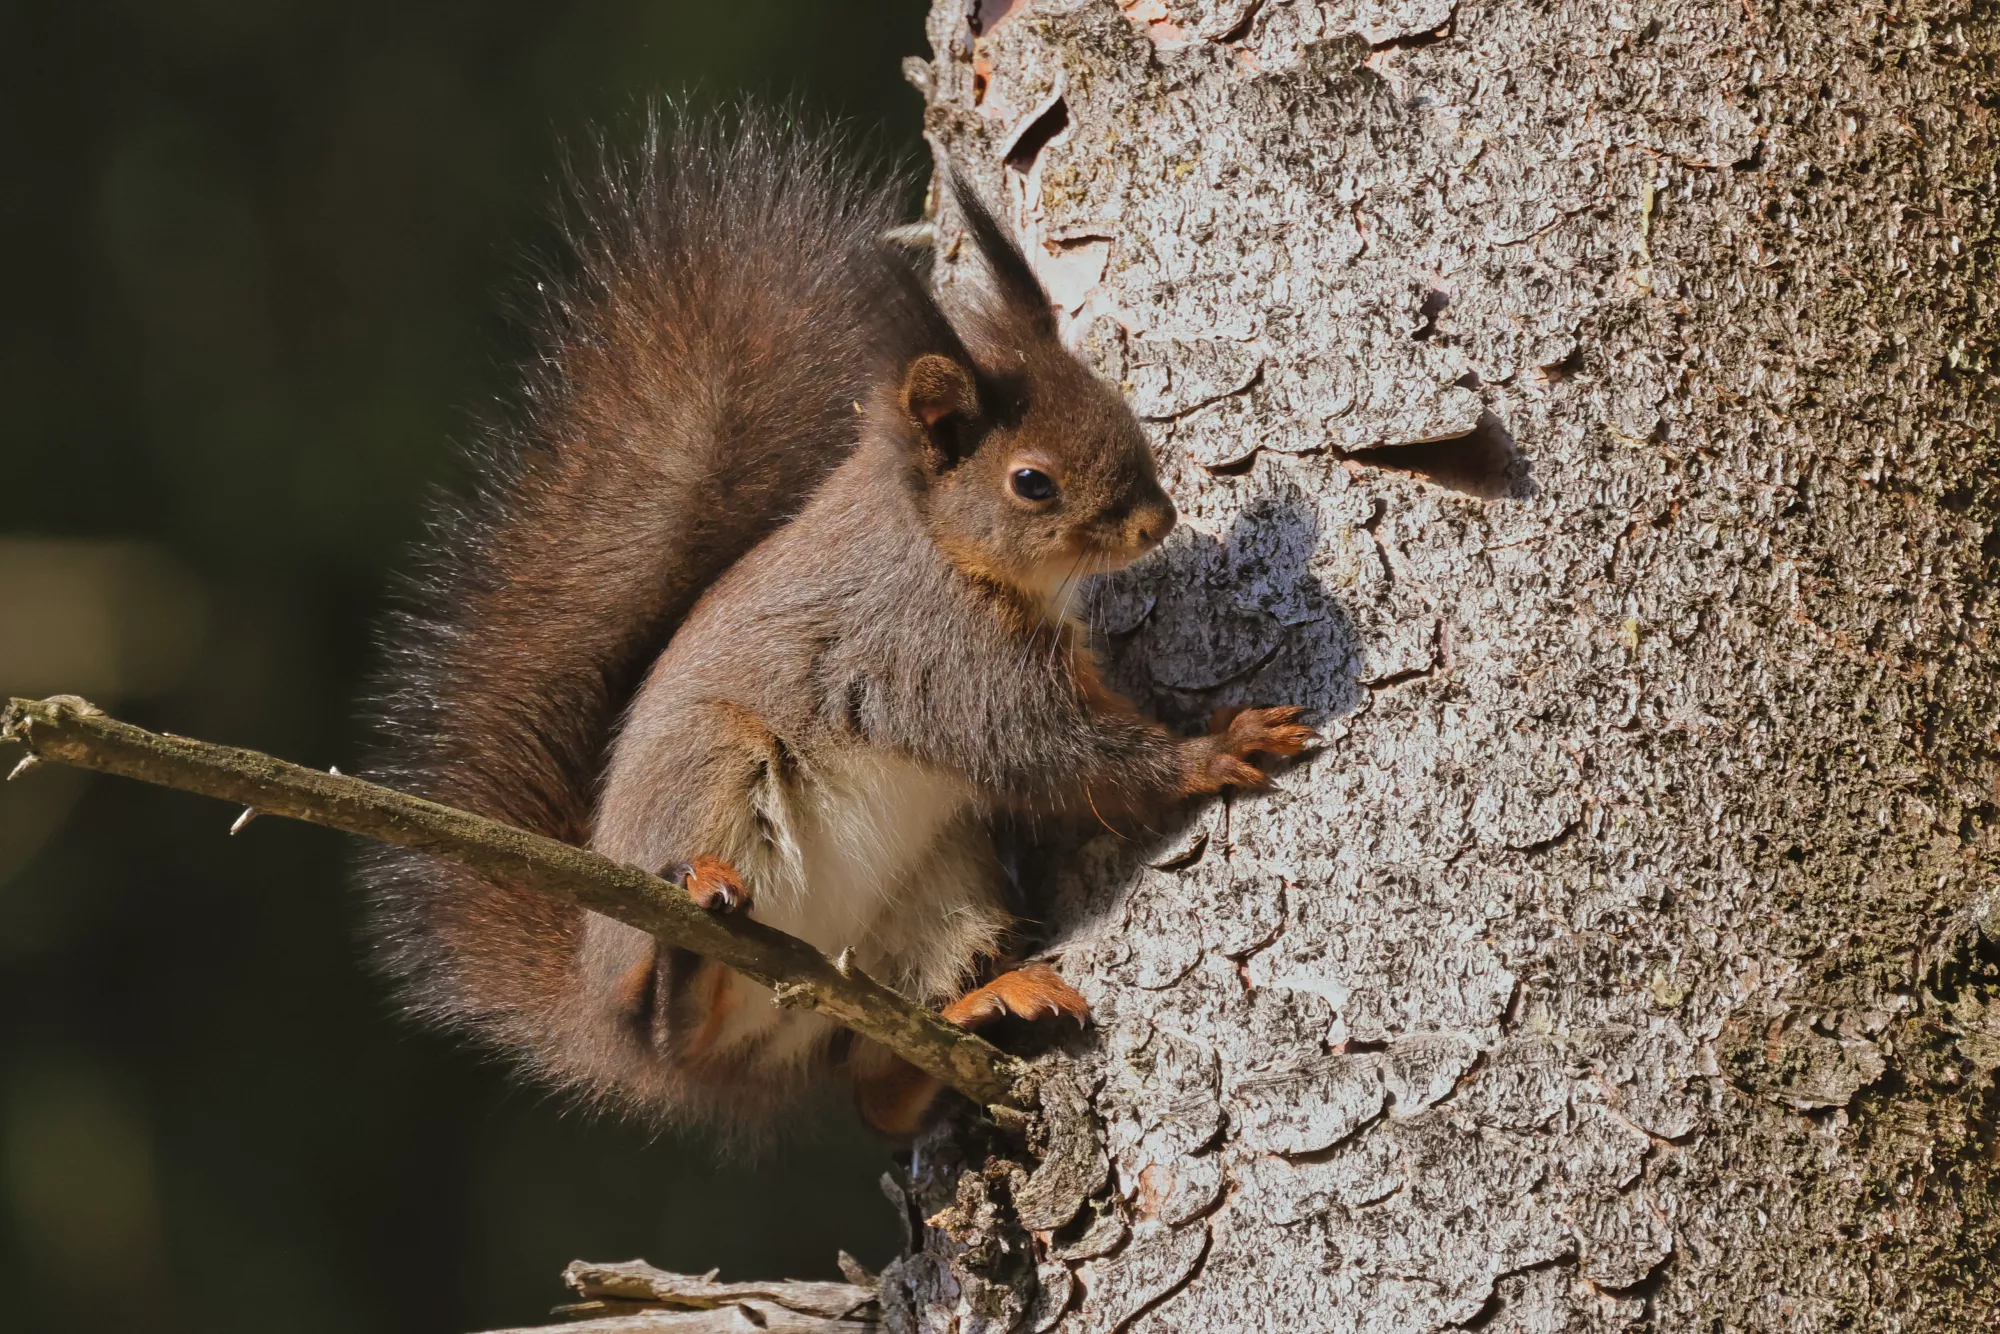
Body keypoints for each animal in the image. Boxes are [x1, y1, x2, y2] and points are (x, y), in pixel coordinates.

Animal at [361, 108, 1316, 1139]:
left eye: (1116, 406)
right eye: (1032, 482)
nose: (1157, 522)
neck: (948, 547)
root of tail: (594, 1009)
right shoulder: (937, 659)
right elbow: (1054, 755)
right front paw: (1215, 750)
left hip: (938, 886)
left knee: (877, 1090)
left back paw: (983, 1009)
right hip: (713, 777)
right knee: (675, 1023)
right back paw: (683, 966)